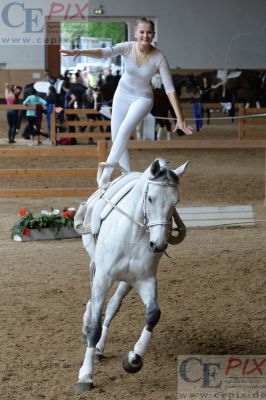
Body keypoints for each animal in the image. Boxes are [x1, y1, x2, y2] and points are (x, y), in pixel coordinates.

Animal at [74, 159, 188, 394]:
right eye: (150, 198)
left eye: (176, 201)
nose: (158, 245)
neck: (133, 237)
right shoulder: (103, 278)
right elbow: (95, 326)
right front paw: (85, 377)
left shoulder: (144, 280)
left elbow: (153, 314)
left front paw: (133, 359)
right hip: (96, 265)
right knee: (94, 301)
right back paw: (87, 328)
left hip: (126, 282)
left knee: (112, 307)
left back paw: (99, 349)